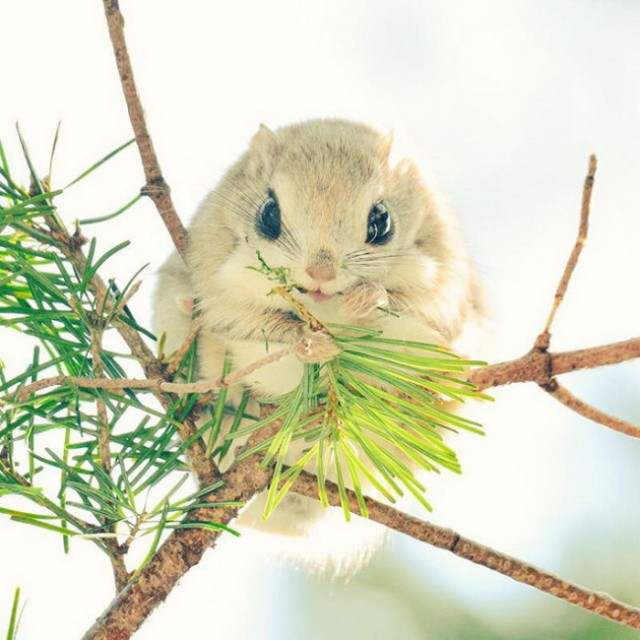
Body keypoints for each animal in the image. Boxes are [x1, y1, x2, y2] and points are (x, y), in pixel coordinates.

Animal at [155, 120, 484, 564]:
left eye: (382, 222)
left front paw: (366, 300)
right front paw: (312, 344)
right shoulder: (218, 286)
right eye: (268, 215)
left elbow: (398, 303)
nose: (321, 273)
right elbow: (258, 324)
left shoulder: (442, 292)